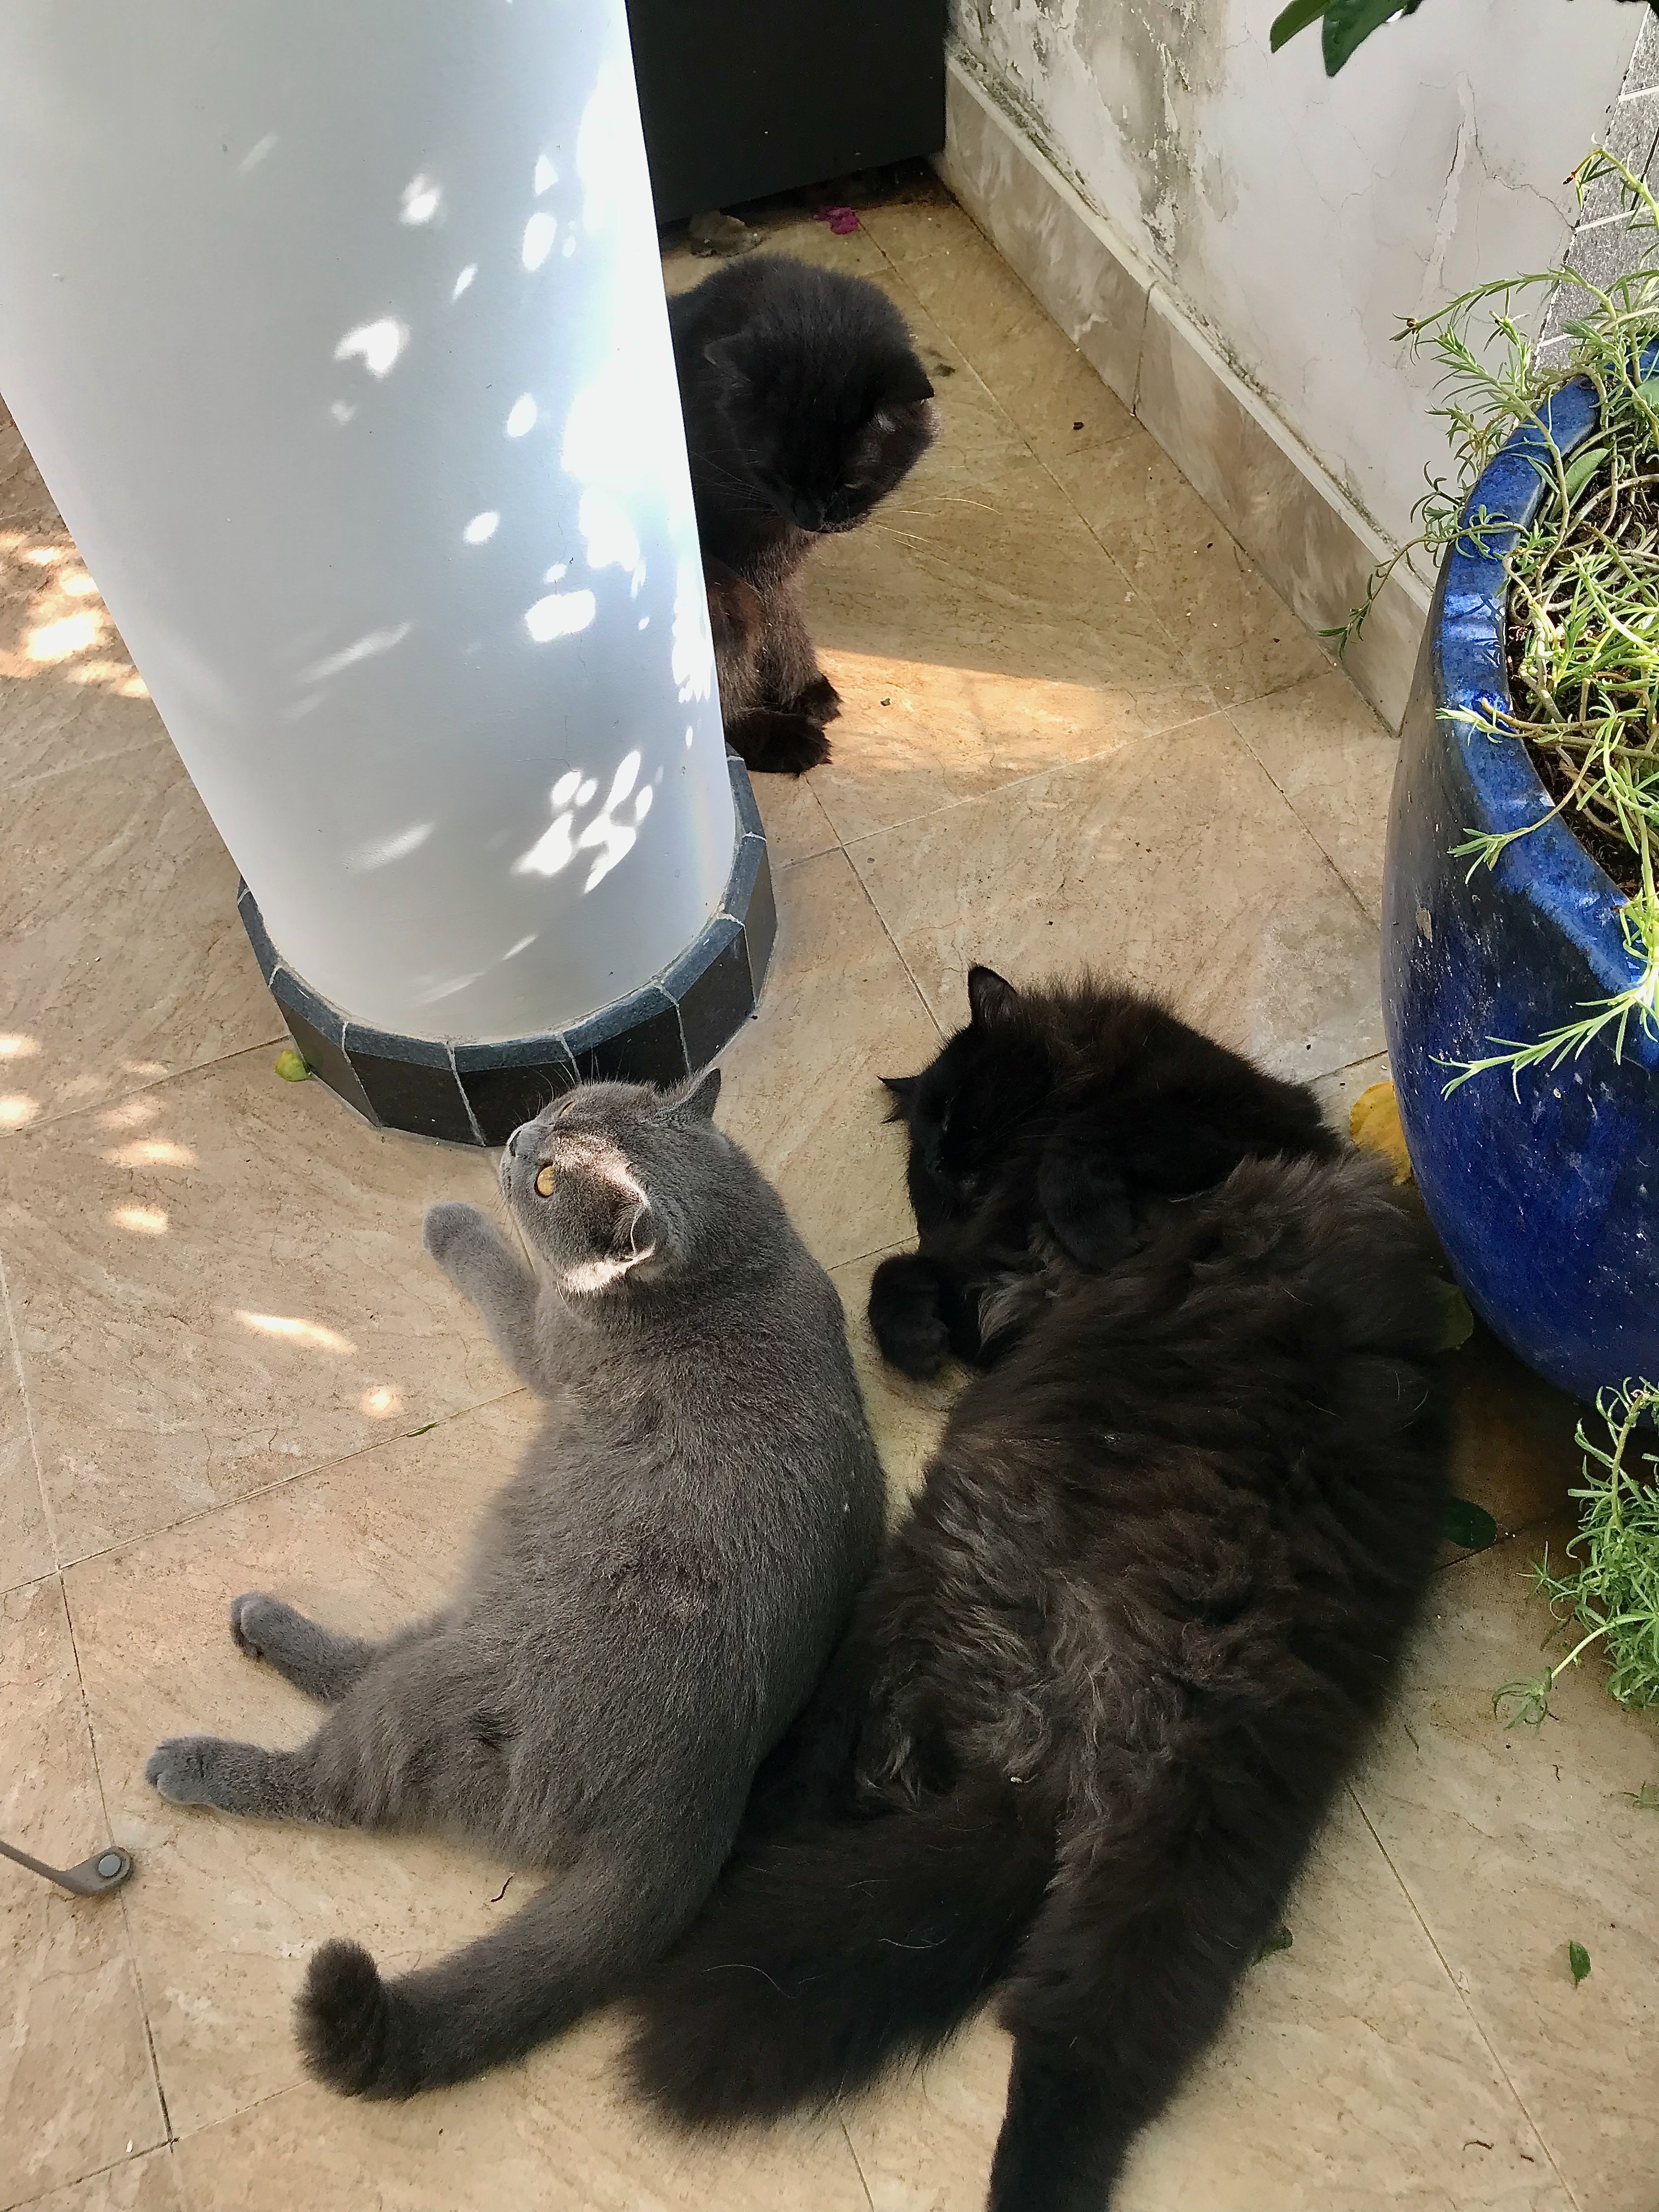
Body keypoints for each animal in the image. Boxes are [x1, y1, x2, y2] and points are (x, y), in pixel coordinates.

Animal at [144, 1072, 886, 2099]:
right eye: (564, 1106)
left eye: (545, 1184)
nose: (512, 1138)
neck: (736, 1268)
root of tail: (688, 1811)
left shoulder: (544, 1336)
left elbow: (502, 1278)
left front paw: (451, 1218)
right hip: (482, 1609)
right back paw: (259, 1628)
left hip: (446, 1687)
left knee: (339, 1783)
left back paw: (203, 1747)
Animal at [670, 253, 936, 775]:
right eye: (776, 475)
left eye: (850, 484)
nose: (812, 517)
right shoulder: (755, 562)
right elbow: (778, 621)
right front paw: (798, 698)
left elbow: (786, 621)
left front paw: (803, 691)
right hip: (722, 601)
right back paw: (786, 740)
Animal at [869, 964, 1339, 1378]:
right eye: (921, 1142)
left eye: (951, 1110)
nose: (935, 1162)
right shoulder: (1009, 1318)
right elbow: (893, 1269)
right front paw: (915, 1341)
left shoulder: (1248, 1117)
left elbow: (1087, 1129)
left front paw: (1097, 1237)